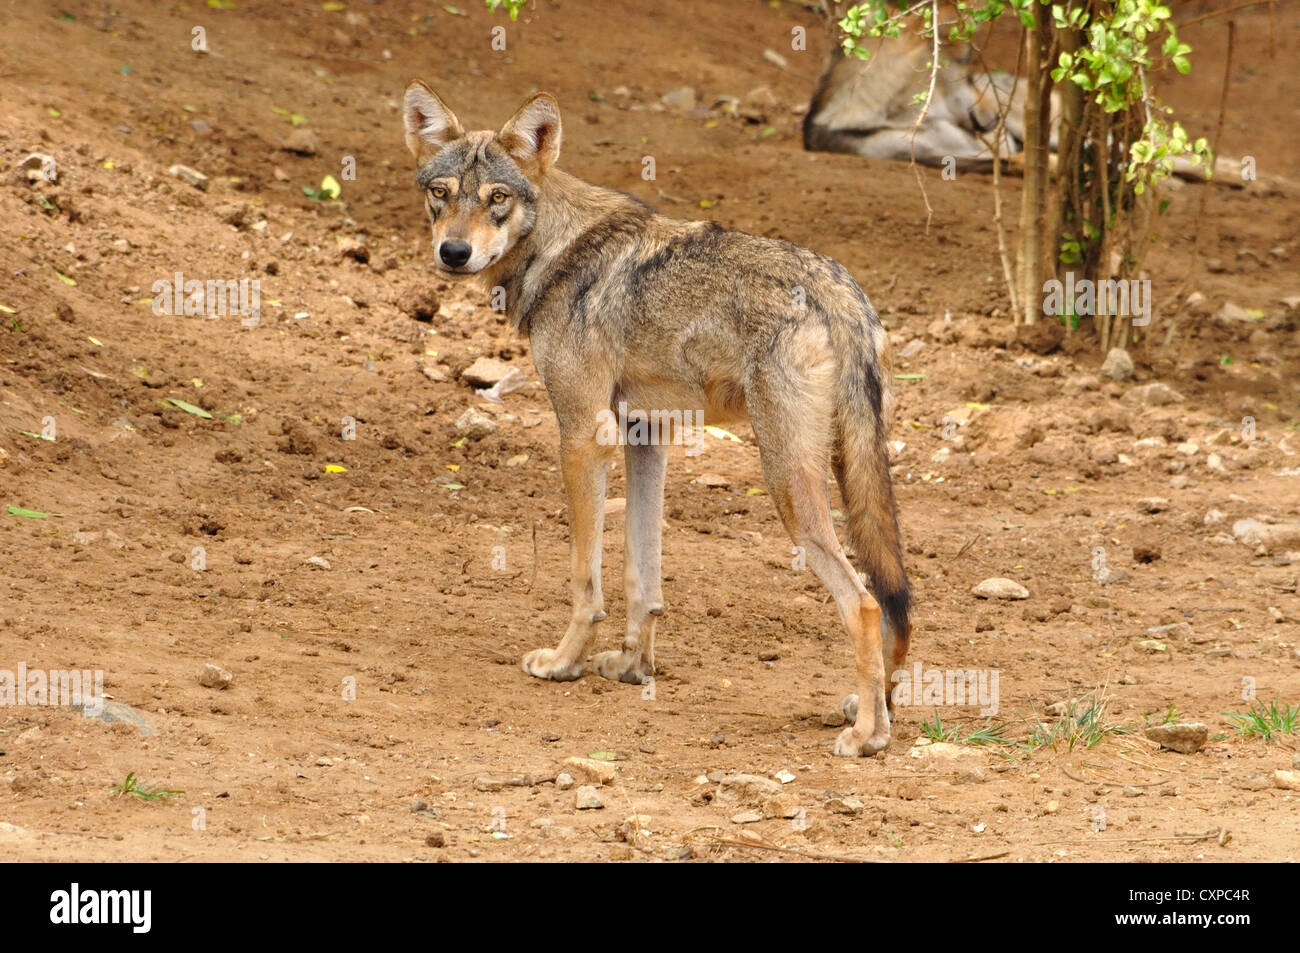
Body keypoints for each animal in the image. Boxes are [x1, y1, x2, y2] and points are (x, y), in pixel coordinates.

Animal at [403, 82, 911, 756]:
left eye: (497, 199)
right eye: (441, 193)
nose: (454, 252)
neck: (556, 246)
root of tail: (843, 292)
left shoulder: (583, 435)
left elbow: (586, 579)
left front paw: (564, 663)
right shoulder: (648, 435)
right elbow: (642, 578)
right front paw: (631, 668)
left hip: (788, 483)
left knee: (864, 604)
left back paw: (868, 734)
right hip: (851, 473)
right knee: (895, 595)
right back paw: (876, 708)